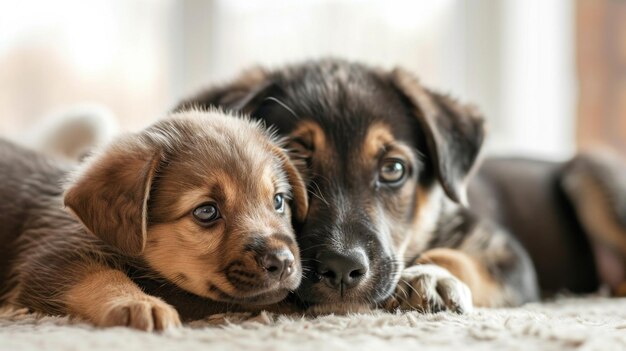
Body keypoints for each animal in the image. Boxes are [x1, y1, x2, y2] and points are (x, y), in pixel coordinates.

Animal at [0, 109, 308, 330]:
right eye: (206, 211)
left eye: (278, 201)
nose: (282, 263)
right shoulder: (50, 260)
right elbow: (102, 275)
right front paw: (138, 303)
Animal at [178, 59, 624, 314]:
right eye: (295, 166)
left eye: (393, 169)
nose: (342, 269)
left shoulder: (509, 257)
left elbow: (455, 257)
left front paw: (430, 276)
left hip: (589, 170)